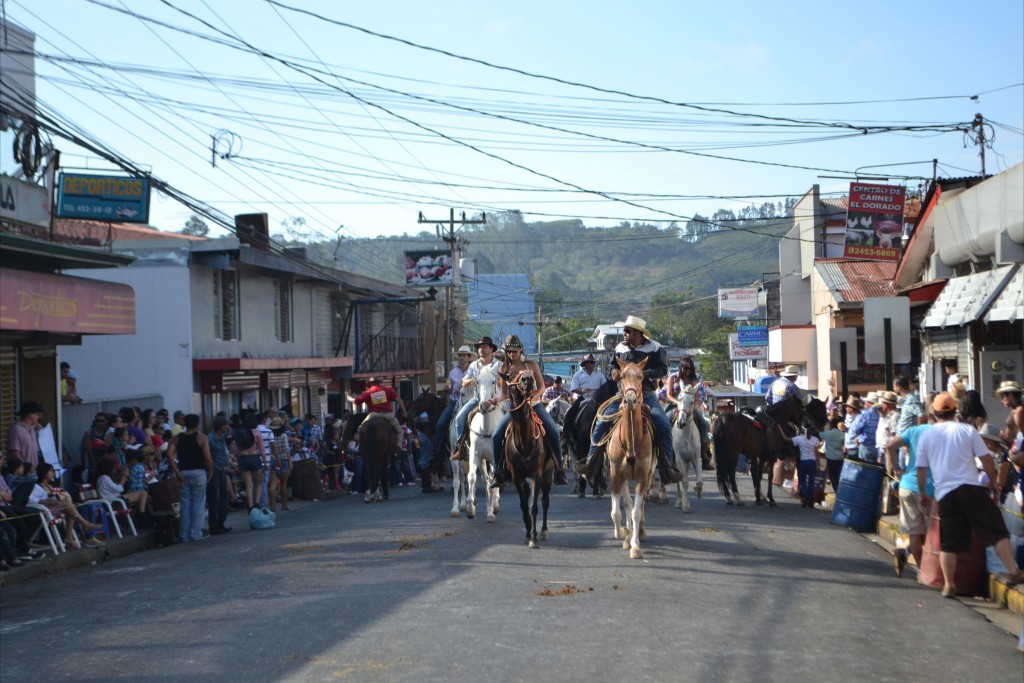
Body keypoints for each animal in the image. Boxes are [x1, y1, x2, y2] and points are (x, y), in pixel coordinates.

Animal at [466, 366, 505, 520]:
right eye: (477, 381)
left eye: (493, 381)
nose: (484, 406)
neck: (486, 429)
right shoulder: (475, 454)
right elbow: (472, 477)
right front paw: (470, 508)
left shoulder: (495, 458)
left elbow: (493, 482)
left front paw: (490, 511)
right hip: (483, 460)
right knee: (486, 479)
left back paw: (495, 505)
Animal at [497, 368, 552, 548]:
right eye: (511, 376)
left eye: (530, 373)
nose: (528, 380)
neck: (524, 440)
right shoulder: (517, 477)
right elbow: (523, 506)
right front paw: (528, 534)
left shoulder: (536, 474)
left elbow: (533, 505)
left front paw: (534, 538)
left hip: (548, 473)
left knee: (545, 501)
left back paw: (544, 531)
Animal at [598, 358, 655, 561]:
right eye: (621, 376)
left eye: (641, 376)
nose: (630, 399)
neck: (631, 440)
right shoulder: (616, 474)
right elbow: (616, 511)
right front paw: (623, 534)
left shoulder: (642, 476)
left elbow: (637, 511)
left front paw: (635, 546)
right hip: (622, 477)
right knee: (627, 503)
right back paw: (628, 533)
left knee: (641, 503)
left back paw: (640, 532)